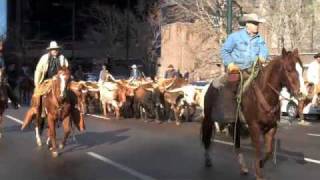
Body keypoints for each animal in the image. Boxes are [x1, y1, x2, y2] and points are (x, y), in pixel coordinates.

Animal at [201, 48, 304, 179]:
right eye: (289, 69)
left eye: (302, 69)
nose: (301, 94)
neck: (264, 95)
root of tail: (209, 86)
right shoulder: (254, 126)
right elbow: (258, 150)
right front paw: (258, 174)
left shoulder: (272, 127)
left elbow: (269, 151)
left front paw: (260, 165)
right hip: (208, 118)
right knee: (207, 137)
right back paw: (208, 160)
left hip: (235, 124)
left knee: (237, 144)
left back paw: (243, 168)